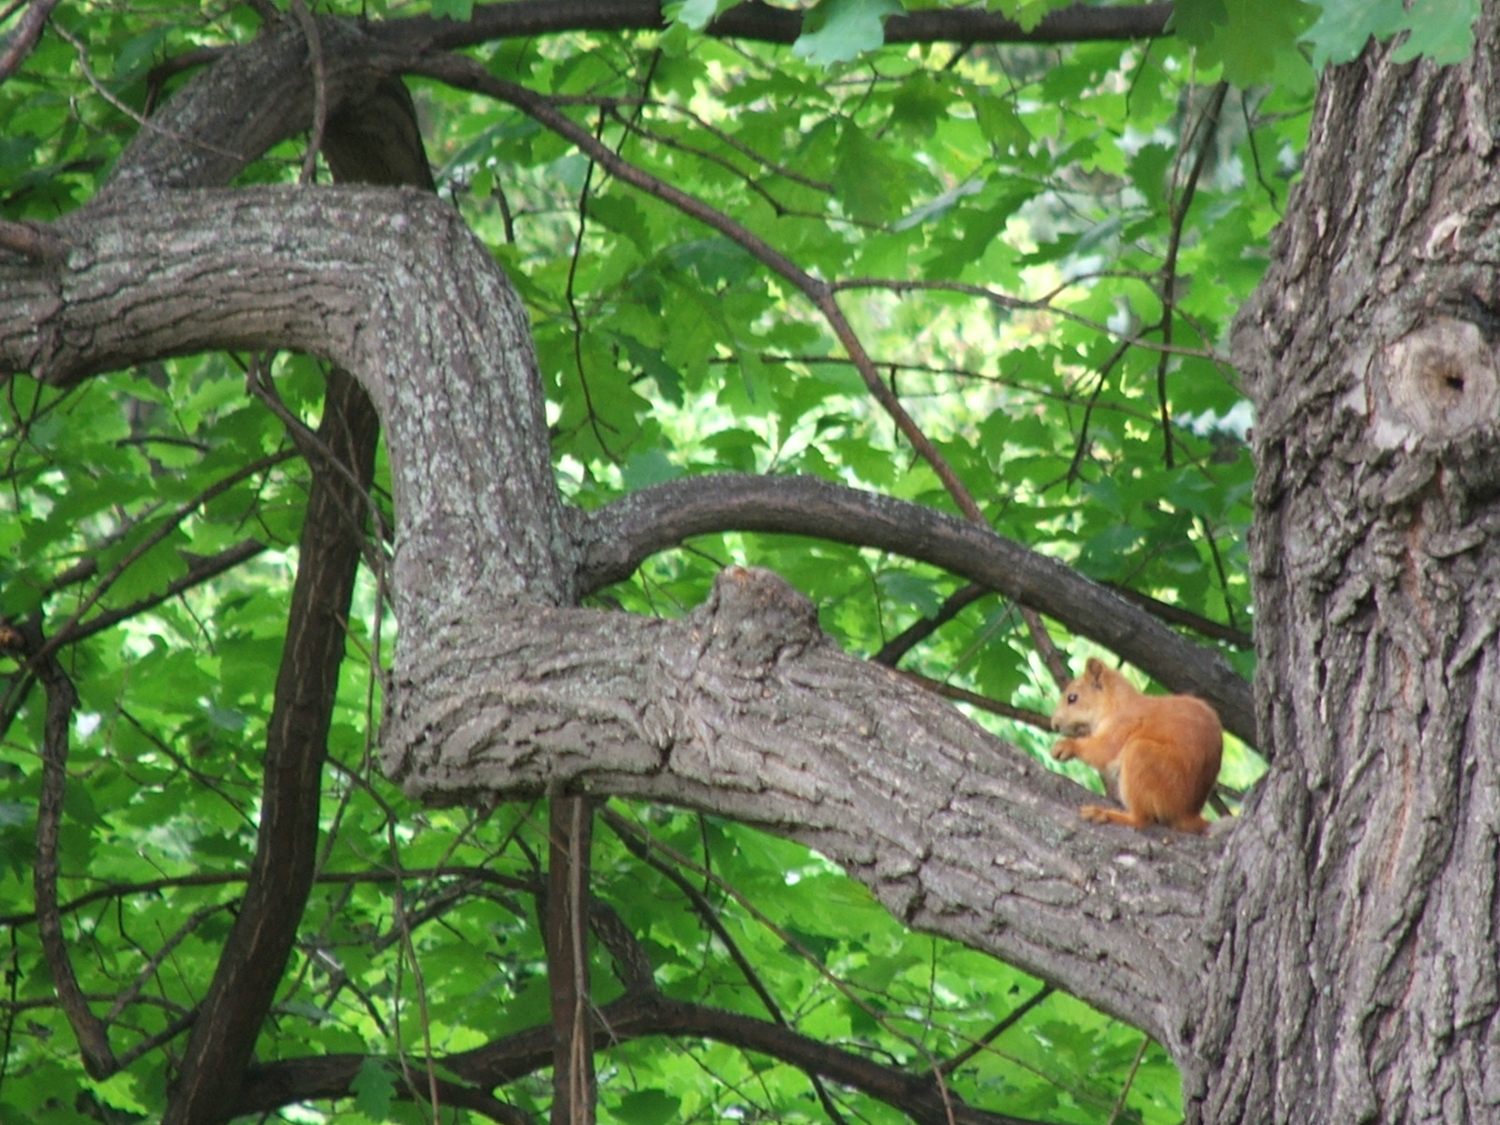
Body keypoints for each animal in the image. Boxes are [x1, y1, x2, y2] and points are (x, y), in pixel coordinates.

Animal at [1050, 660, 1224, 840]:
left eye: (1072, 698)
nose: (1054, 724)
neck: (1116, 703)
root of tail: (1186, 814)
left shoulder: (1122, 725)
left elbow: (1104, 750)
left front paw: (1067, 746)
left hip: (1143, 757)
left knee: (1141, 819)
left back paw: (1105, 813)